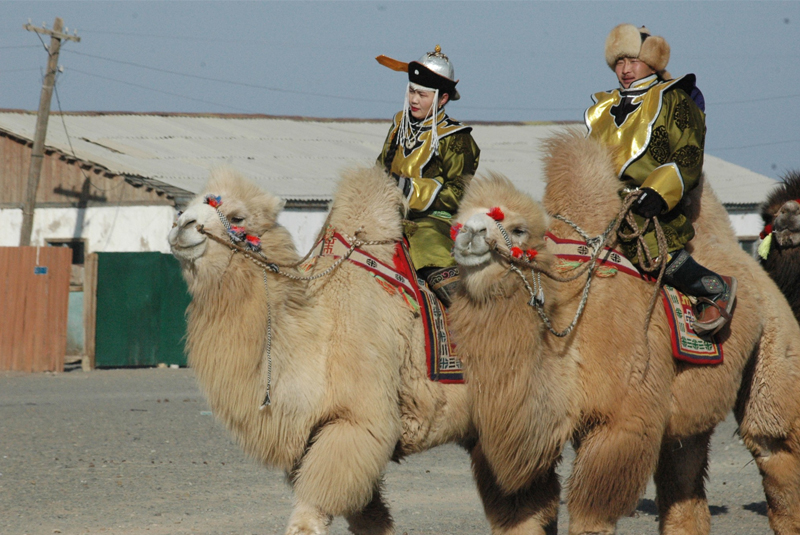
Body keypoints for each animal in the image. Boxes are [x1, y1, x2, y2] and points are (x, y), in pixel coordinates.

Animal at [168, 166, 474, 535]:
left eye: (237, 216)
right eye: (189, 206)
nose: (181, 225)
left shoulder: (359, 422)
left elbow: (313, 509)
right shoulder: (311, 435)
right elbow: (369, 516)